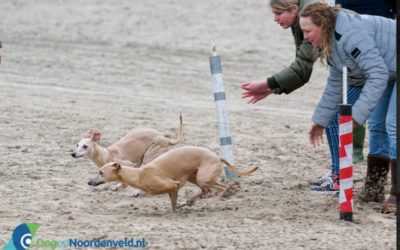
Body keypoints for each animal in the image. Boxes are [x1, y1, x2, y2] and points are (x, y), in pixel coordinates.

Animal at [88, 146, 260, 213]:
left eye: (100, 172)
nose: (89, 182)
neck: (140, 174)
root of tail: (217, 156)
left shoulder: (173, 185)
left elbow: (173, 206)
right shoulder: (172, 189)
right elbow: (174, 204)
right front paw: (182, 205)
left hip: (202, 178)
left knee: (221, 188)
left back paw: (213, 201)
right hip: (195, 177)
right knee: (205, 190)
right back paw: (190, 201)